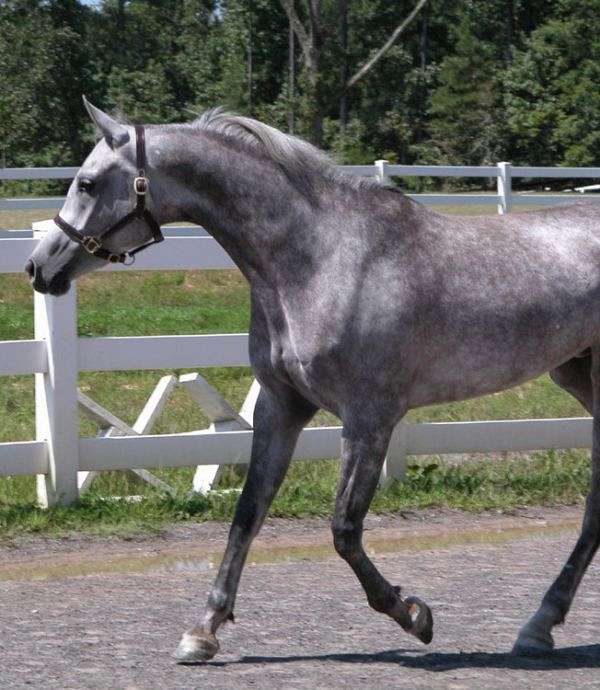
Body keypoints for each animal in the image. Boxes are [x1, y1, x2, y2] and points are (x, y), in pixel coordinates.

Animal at [26, 97, 600, 663]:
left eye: (87, 183)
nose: (38, 268)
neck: (320, 261)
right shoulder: (281, 407)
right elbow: (247, 512)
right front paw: (204, 630)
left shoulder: (369, 418)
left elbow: (344, 529)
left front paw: (413, 615)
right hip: (578, 378)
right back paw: (538, 626)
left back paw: (537, 626)